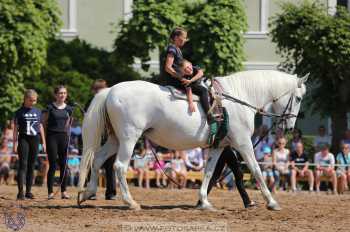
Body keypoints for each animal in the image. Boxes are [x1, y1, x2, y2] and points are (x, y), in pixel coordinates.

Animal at [78, 69, 308, 210]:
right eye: (298, 98)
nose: (289, 127)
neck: (238, 98)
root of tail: (110, 90)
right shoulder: (243, 144)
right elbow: (256, 170)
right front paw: (272, 202)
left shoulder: (219, 146)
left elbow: (208, 172)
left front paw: (204, 201)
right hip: (128, 138)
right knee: (119, 166)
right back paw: (130, 202)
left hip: (115, 139)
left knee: (97, 160)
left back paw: (87, 193)